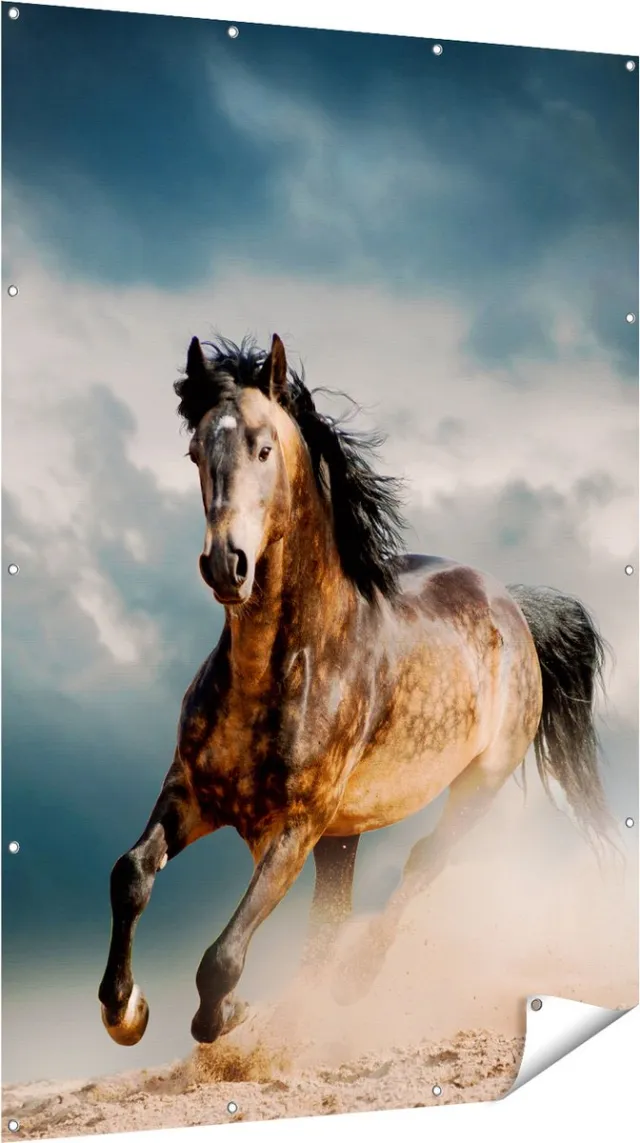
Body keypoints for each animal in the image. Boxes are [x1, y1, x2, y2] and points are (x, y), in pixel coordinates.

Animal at [98, 332, 615, 1047]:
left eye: (264, 447)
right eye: (196, 452)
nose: (226, 564)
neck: (279, 670)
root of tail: (512, 605)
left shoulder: (296, 826)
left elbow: (221, 958)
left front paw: (227, 1014)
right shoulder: (191, 792)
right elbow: (130, 875)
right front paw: (124, 1010)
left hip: (475, 785)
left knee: (420, 865)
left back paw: (353, 980)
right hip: (344, 835)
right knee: (333, 915)